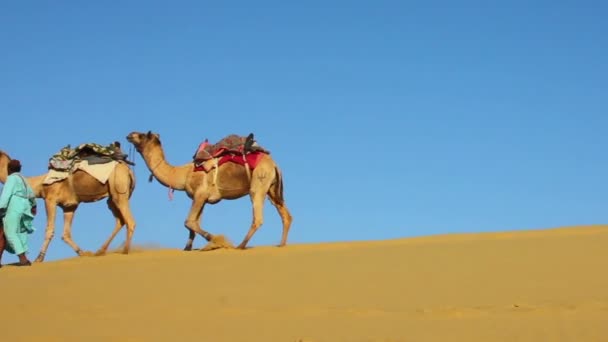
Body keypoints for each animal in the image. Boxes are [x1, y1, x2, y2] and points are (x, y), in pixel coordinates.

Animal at [0, 149, 137, 262]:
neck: (39, 184)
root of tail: (129, 171)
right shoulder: (69, 206)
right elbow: (66, 234)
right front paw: (82, 253)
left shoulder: (50, 200)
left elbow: (49, 230)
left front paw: (39, 258)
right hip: (112, 198)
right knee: (120, 220)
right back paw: (100, 251)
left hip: (119, 189)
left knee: (130, 221)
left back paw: (125, 251)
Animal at [126, 130, 292, 248]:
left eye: (142, 135)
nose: (129, 134)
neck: (183, 174)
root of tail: (274, 164)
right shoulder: (201, 198)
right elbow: (193, 226)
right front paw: (187, 249)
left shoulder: (200, 193)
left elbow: (189, 222)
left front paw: (216, 240)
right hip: (272, 189)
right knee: (286, 215)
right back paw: (281, 244)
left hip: (259, 182)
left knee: (257, 218)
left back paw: (240, 246)